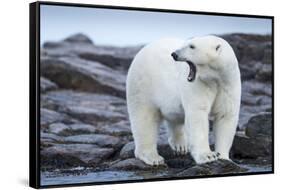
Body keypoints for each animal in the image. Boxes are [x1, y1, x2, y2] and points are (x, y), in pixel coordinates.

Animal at [126, 35, 240, 165]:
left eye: (191, 46)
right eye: (188, 44)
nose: (174, 54)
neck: (215, 78)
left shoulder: (228, 84)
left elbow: (225, 116)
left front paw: (224, 157)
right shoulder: (199, 85)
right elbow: (197, 115)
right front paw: (208, 156)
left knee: (174, 118)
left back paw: (180, 145)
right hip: (142, 85)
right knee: (144, 119)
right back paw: (153, 157)